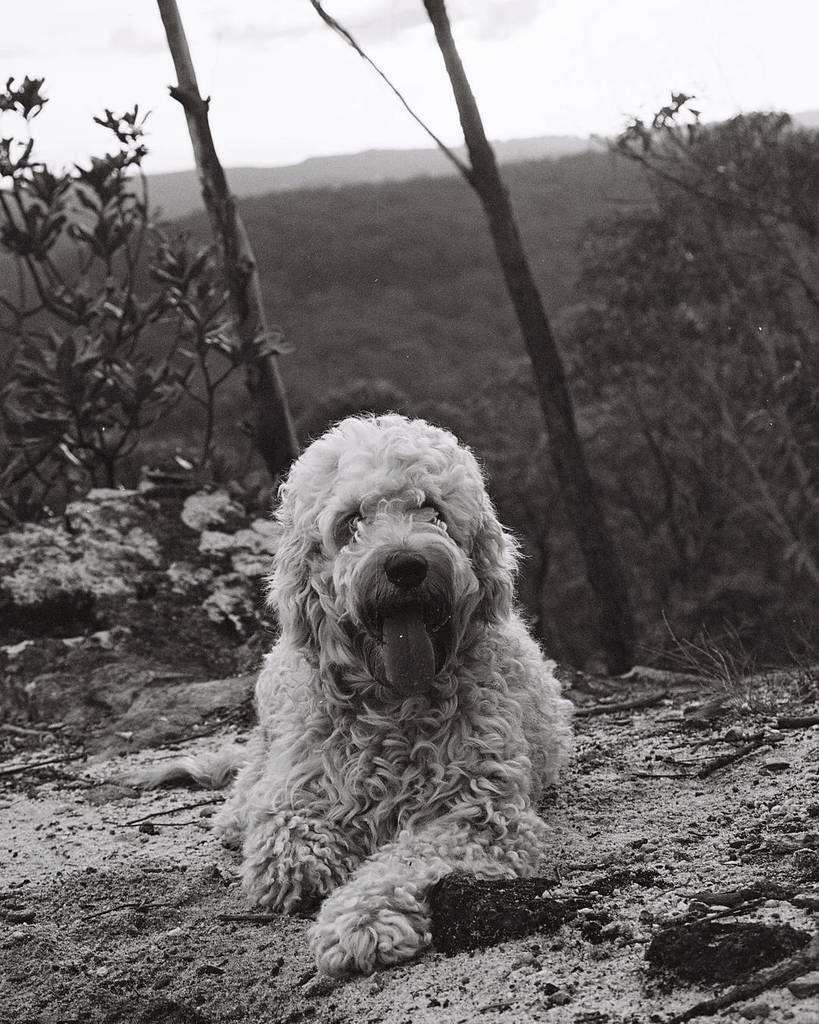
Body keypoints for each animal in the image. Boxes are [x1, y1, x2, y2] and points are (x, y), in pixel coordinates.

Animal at [151, 413, 569, 974]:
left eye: (432, 510)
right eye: (351, 521)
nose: (406, 565)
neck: (395, 700)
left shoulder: (481, 814)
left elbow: (408, 860)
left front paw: (362, 919)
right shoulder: (300, 787)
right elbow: (285, 836)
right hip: (269, 729)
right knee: (247, 782)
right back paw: (237, 816)